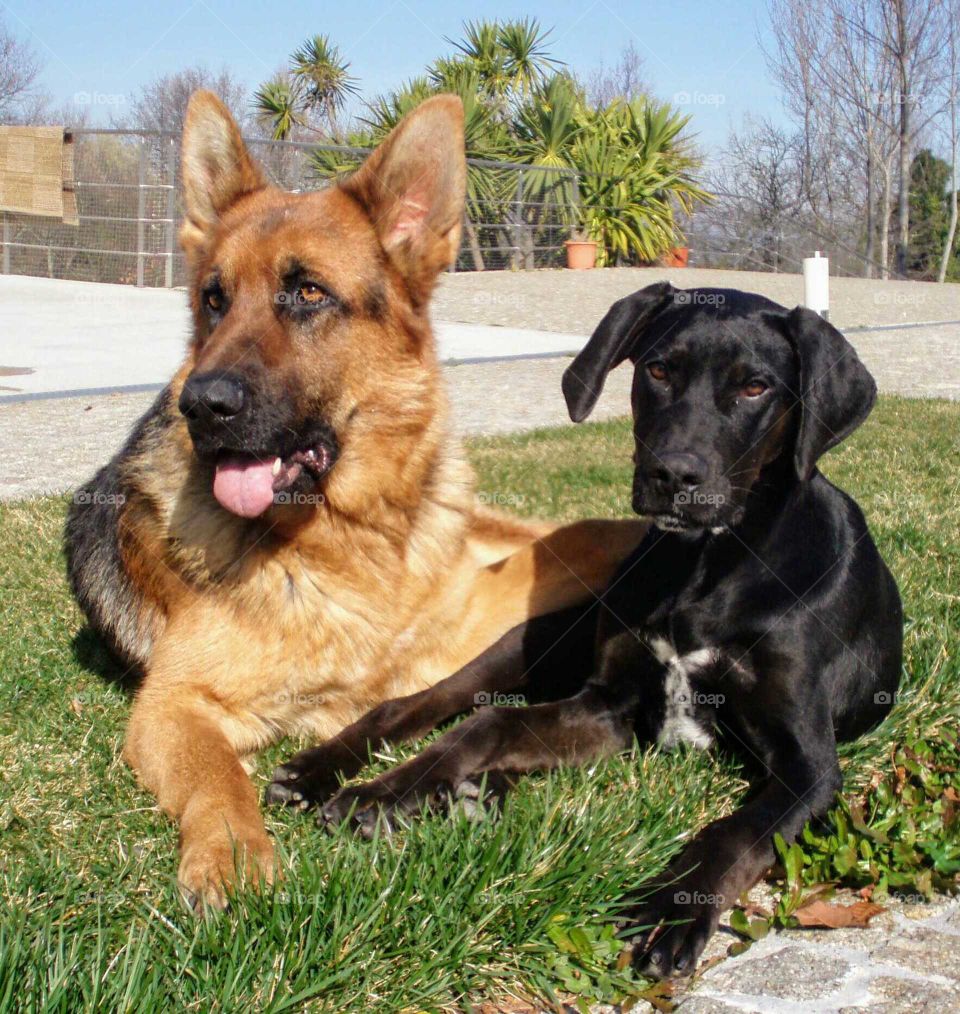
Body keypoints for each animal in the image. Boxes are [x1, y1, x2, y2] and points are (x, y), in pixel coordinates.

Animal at [65, 93, 644, 904]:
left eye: (308, 293)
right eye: (214, 300)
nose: (201, 405)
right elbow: (218, 776)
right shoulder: (172, 705)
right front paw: (233, 852)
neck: (348, 540)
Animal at [267, 281, 900, 977]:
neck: (705, 567)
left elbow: (732, 832)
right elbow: (485, 724)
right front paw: (384, 792)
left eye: (756, 386)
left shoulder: (806, 766)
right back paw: (324, 772)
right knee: (417, 704)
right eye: (658, 370)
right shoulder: (612, 703)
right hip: (534, 642)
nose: (673, 476)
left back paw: (475, 791)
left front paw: (671, 909)